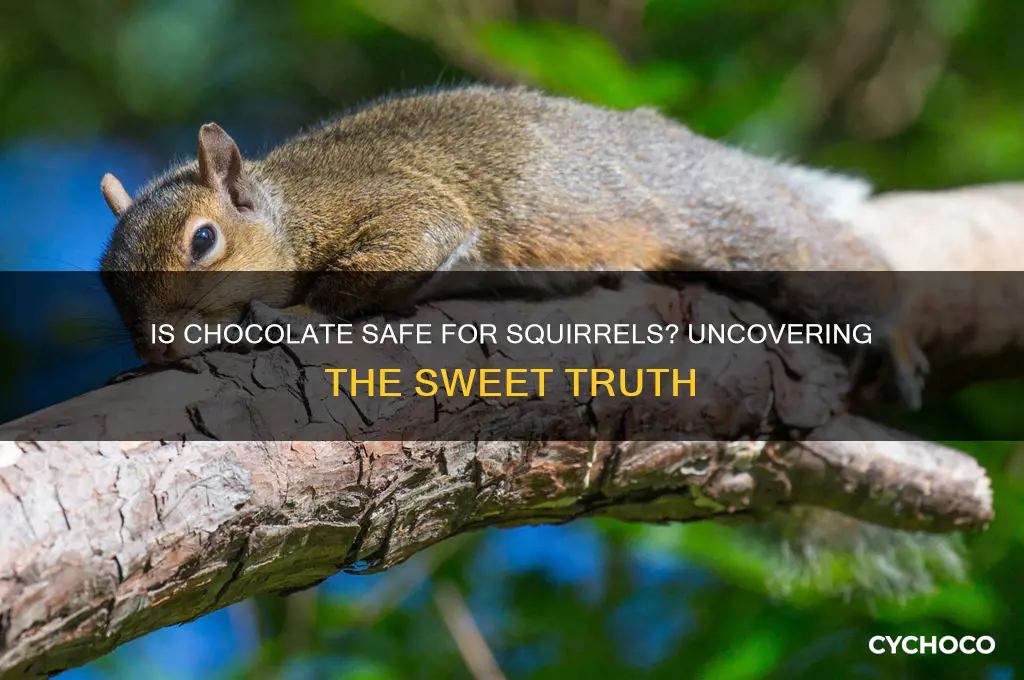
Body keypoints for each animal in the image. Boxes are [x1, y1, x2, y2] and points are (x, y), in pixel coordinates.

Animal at [98, 84, 926, 409]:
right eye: (105, 278)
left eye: (204, 240)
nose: (156, 349)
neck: (290, 210)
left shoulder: (398, 205)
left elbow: (403, 245)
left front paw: (294, 317)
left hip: (733, 225)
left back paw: (896, 333)